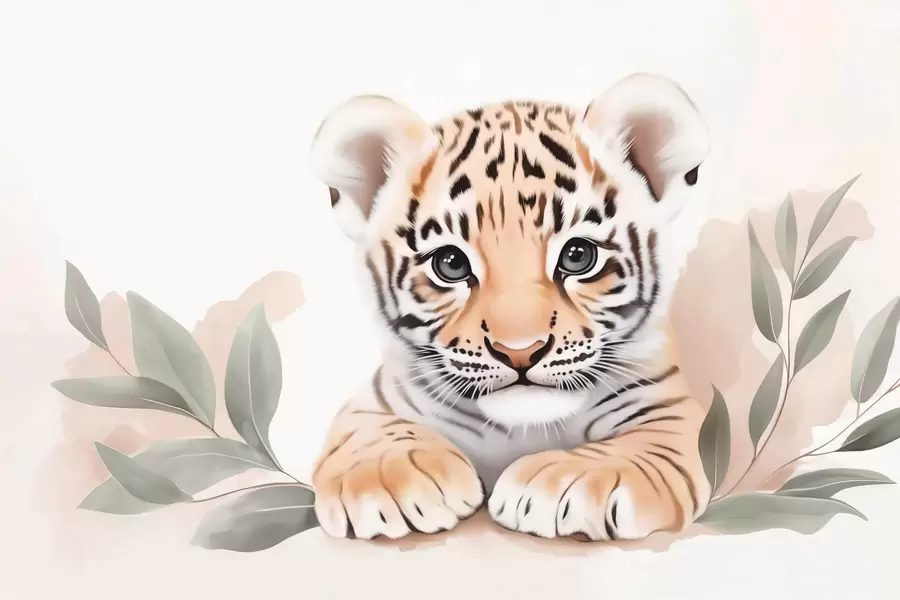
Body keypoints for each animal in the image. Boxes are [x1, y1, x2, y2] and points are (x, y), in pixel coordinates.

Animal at [307, 73, 711, 542]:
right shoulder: (378, 398)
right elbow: (369, 433)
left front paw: (566, 482)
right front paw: (390, 479)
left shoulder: (668, 410)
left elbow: (635, 449)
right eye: (450, 264)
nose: (520, 352)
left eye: (578, 256)